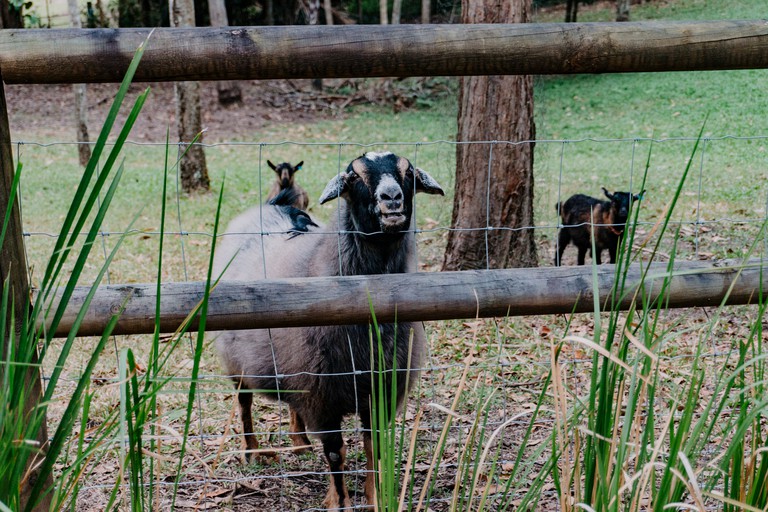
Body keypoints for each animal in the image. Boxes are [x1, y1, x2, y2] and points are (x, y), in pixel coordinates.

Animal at [213, 150, 448, 510]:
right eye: (354, 177)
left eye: (408, 173)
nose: (392, 199)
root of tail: (274, 206)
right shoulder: (322, 398)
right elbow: (337, 453)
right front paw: (340, 501)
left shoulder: (378, 391)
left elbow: (373, 447)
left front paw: (375, 497)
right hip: (238, 362)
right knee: (244, 404)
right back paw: (251, 451)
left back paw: (299, 443)